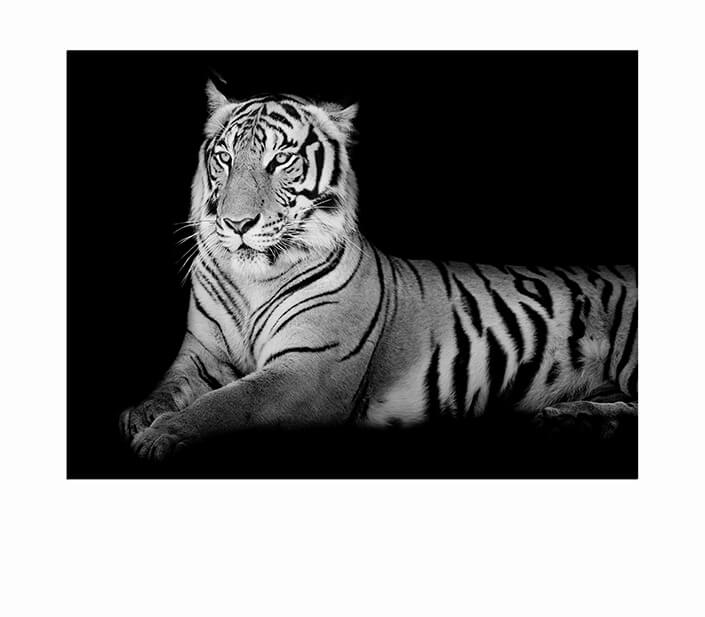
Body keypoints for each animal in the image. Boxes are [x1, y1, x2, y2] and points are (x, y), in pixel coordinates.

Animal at [119, 79, 638, 462]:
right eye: (224, 158)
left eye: (281, 159)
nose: (236, 223)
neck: (254, 282)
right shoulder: (201, 353)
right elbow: (171, 386)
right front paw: (141, 415)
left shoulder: (310, 368)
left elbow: (230, 402)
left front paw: (163, 434)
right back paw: (570, 417)